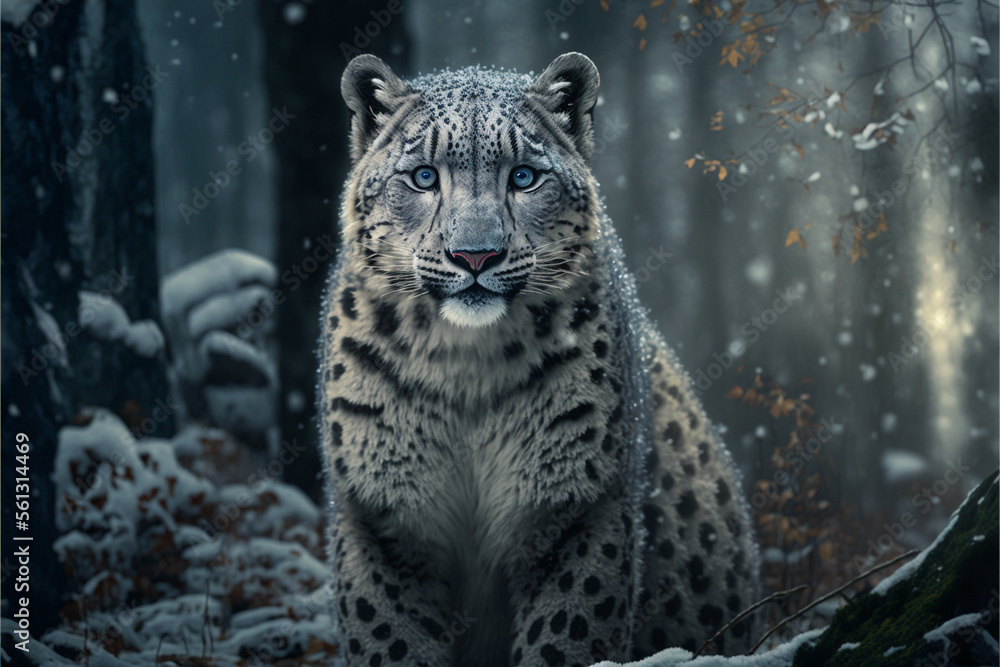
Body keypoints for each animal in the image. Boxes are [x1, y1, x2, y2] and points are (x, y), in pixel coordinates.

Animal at [317, 52, 760, 667]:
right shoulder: (381, 518)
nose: (474, 255)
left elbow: (567, 635)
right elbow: (390, 638)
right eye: (424, 177)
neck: (465, 366)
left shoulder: (577, 510)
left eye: (524, 176)